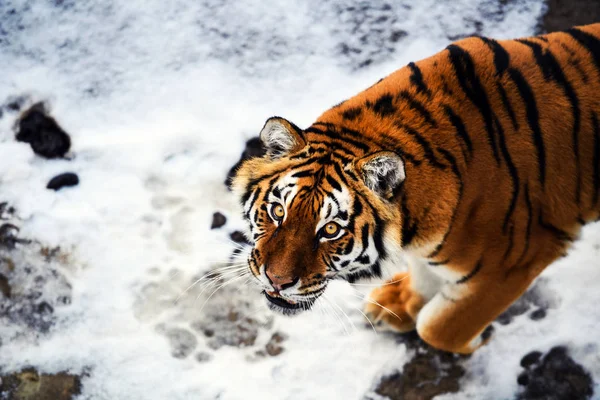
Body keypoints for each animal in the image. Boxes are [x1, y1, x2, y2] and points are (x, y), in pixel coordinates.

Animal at [231, 23, 600, 354]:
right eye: (278, 211)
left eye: (331, 229)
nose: (276, 281)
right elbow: (427, 277)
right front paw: (400, 304)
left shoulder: (517, 260)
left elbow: (439, 327)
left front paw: (475, 341)